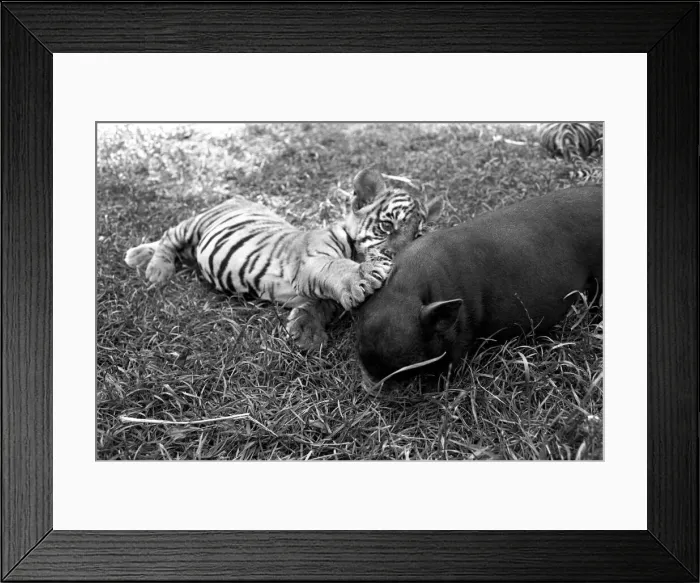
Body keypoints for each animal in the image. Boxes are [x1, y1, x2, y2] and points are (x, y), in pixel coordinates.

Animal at [125, 168, 443, 350]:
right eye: (387, 226)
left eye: (418, 235)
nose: (401, 256)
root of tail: (235, 197)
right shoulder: (312, 260)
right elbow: (337, 268)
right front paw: (364, 272)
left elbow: (320, 303)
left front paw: (305, 331)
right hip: (195, 225)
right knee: (168, 236)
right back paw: (154, 268)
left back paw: (140, 256)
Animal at [355, 185, 602, 392]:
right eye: (360, 351)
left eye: (404, 370)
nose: (370, 388)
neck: (407, 289)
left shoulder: (464, 330)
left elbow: (453, 363)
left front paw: (439, 389)